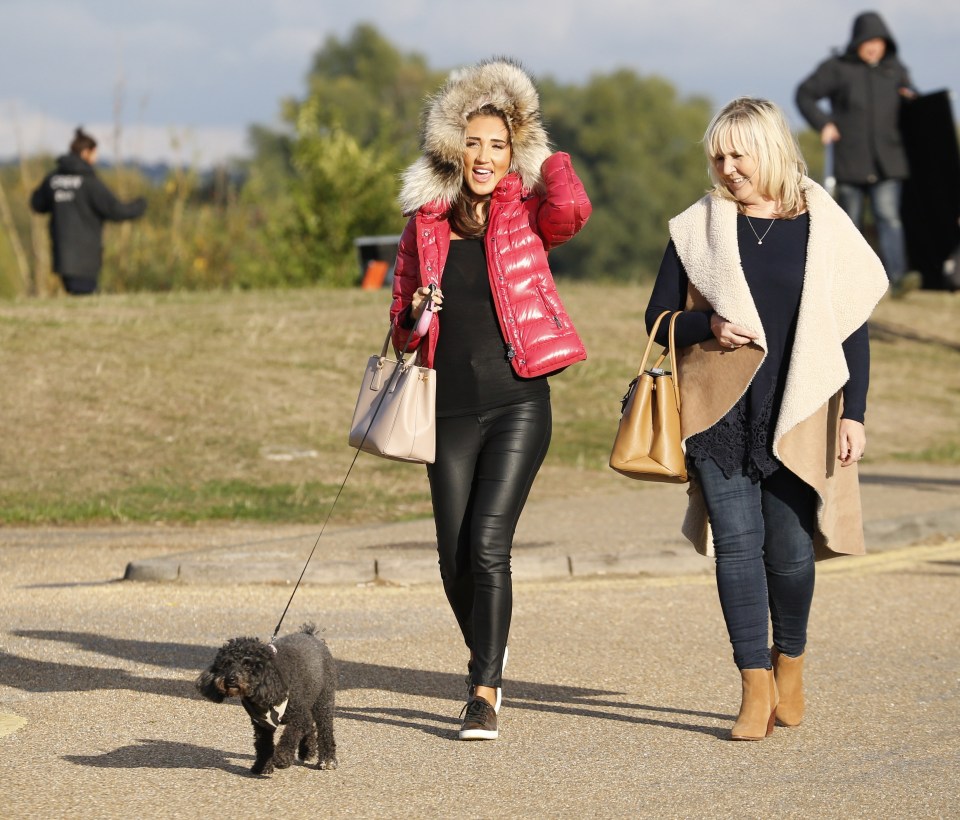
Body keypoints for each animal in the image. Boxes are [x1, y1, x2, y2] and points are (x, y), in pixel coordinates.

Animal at [195, 620, 338, 776]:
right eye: (226, 663)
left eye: (247, 664)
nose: (230, 679)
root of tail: (310, 635)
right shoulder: (262, 724)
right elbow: (263, 745)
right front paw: (262, 766)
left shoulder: (298, 715)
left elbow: (290, 736)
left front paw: (282, 757)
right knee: (310, 727)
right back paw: (307, 751)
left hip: (323, 700)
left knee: (325, 730)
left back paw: (328, 760)